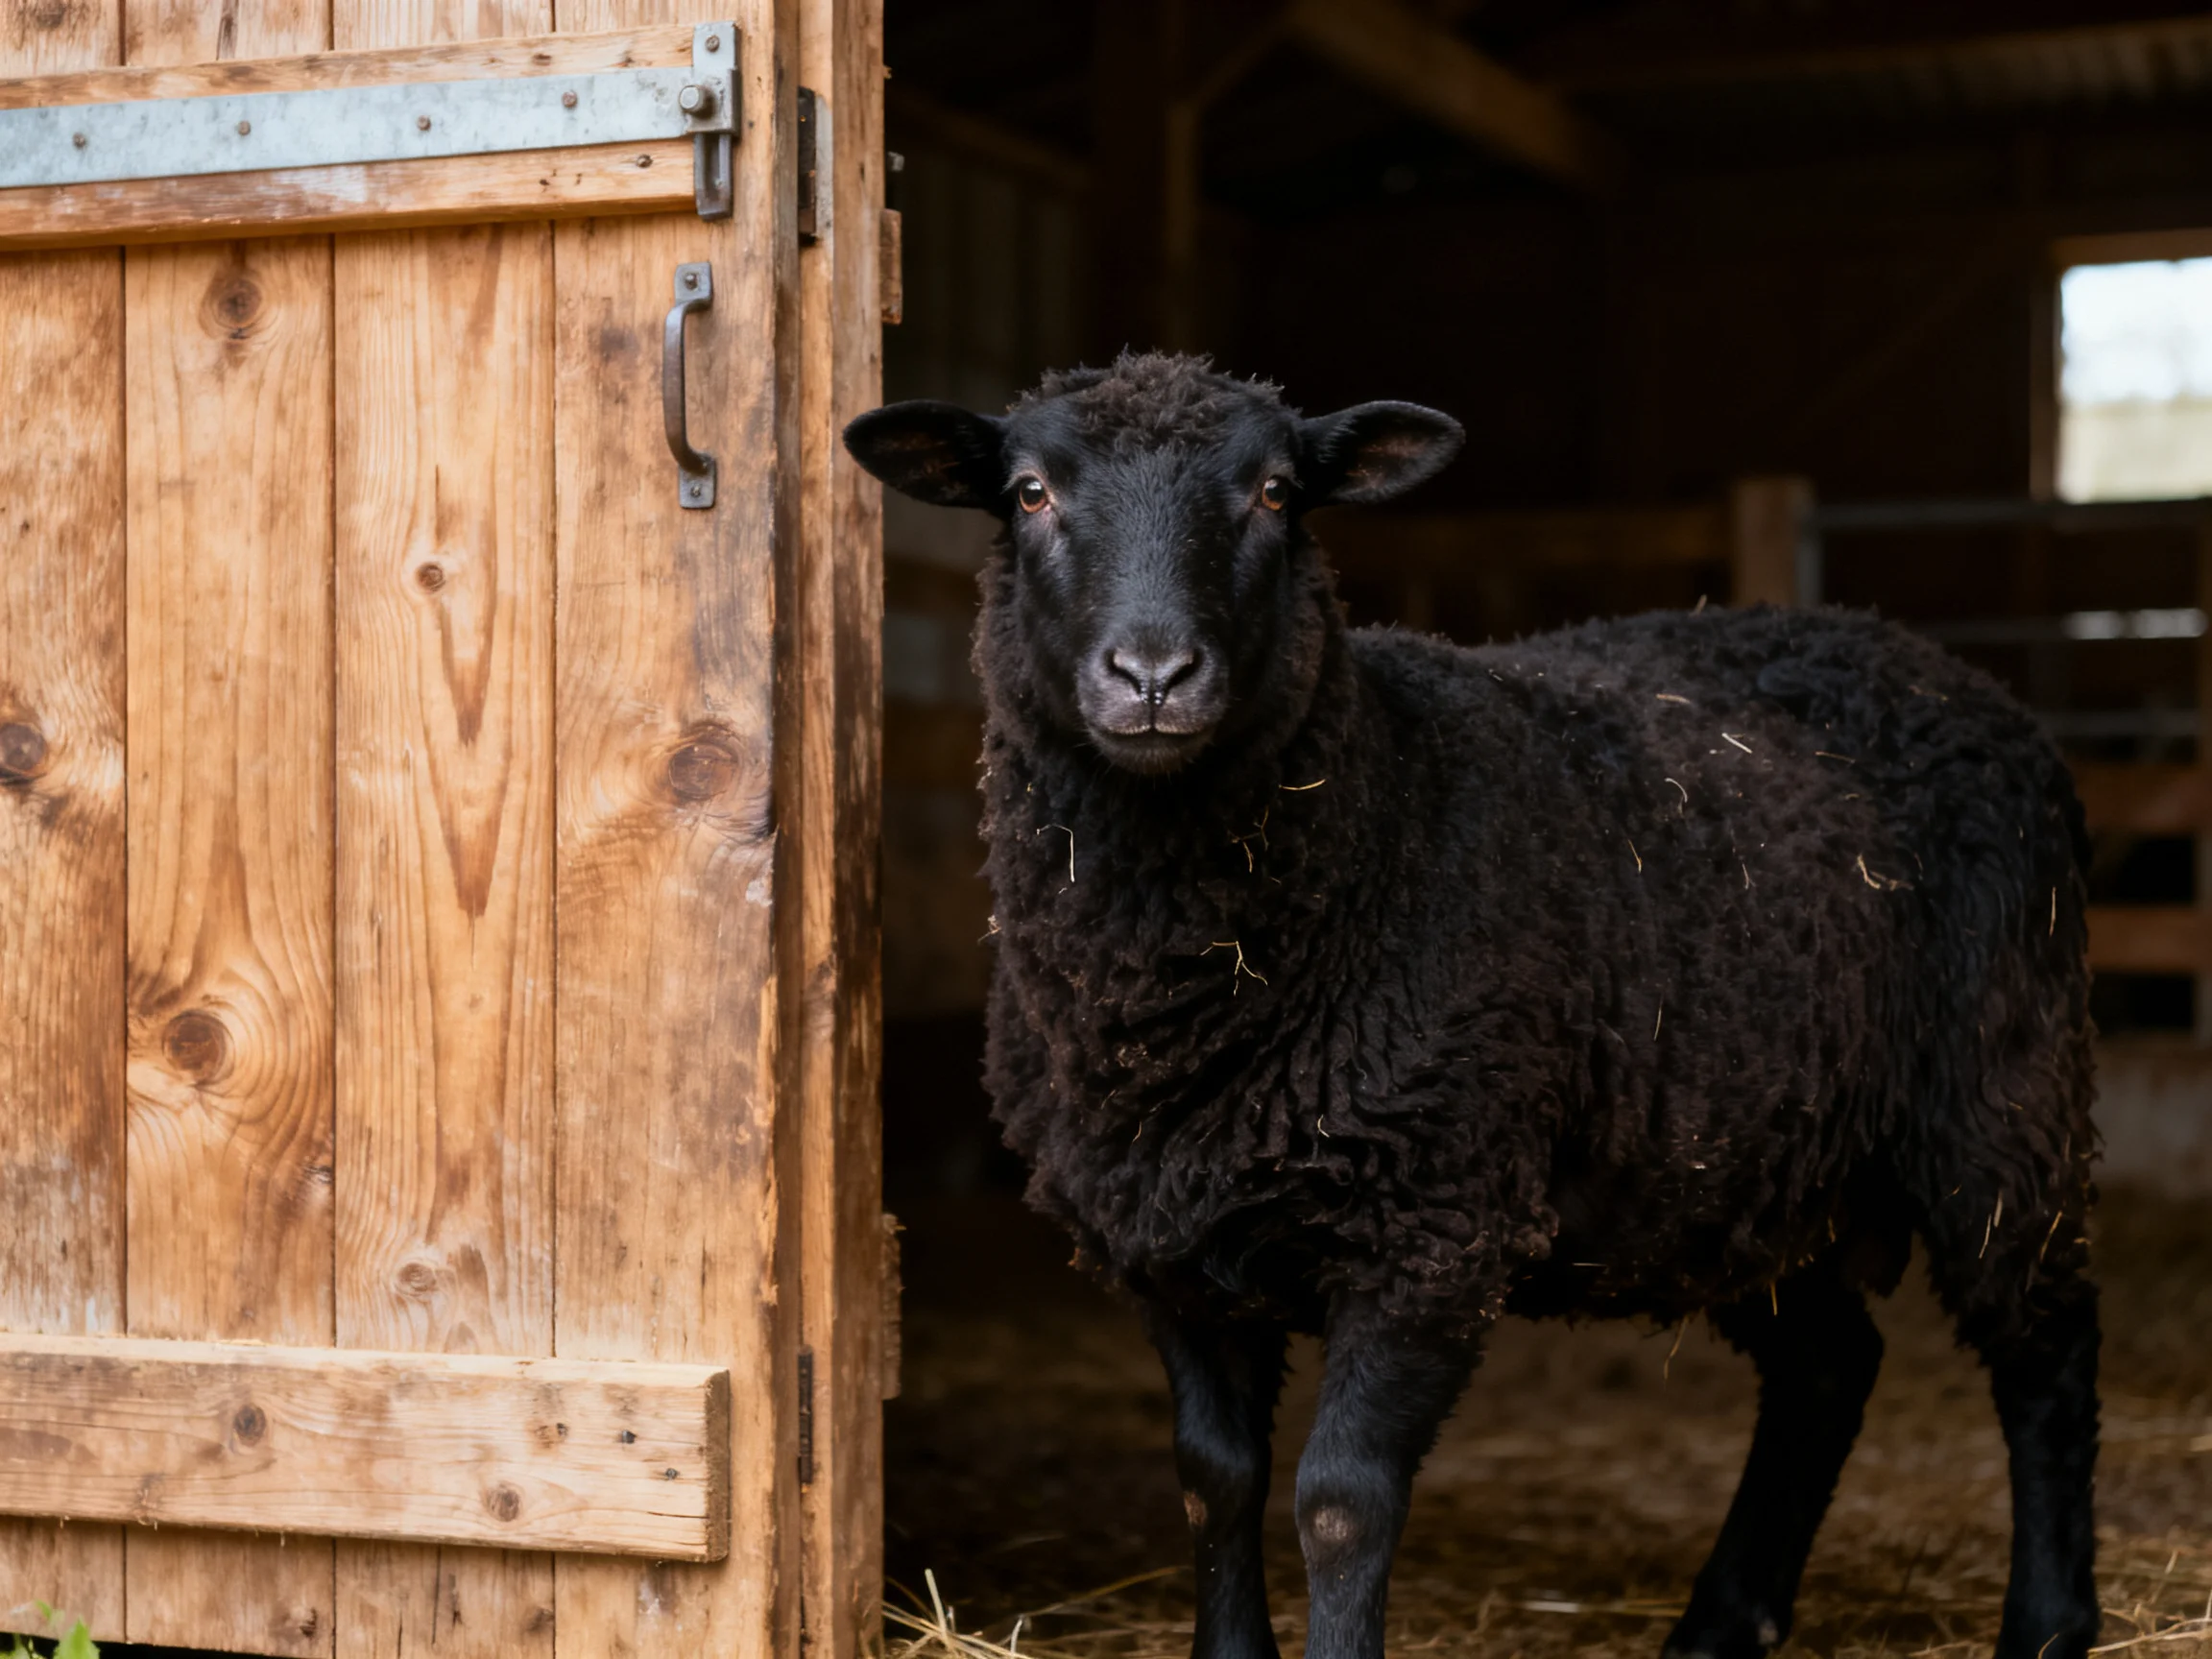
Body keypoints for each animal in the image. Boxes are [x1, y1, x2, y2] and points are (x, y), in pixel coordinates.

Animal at [844, 352, 2101, 1659]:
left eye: (1278, 493)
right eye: (1030, 493)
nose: (1152, 677)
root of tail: (1933, 661)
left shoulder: (1432, 1223)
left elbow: (1341, 1501)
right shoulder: (1170, 1239)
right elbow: (1214, 1480)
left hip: (2000, 1097)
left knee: (2046, 1350)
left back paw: (2048, 1620)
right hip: (1748, 1161)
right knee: (1827, 1366)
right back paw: (1723, 1619)